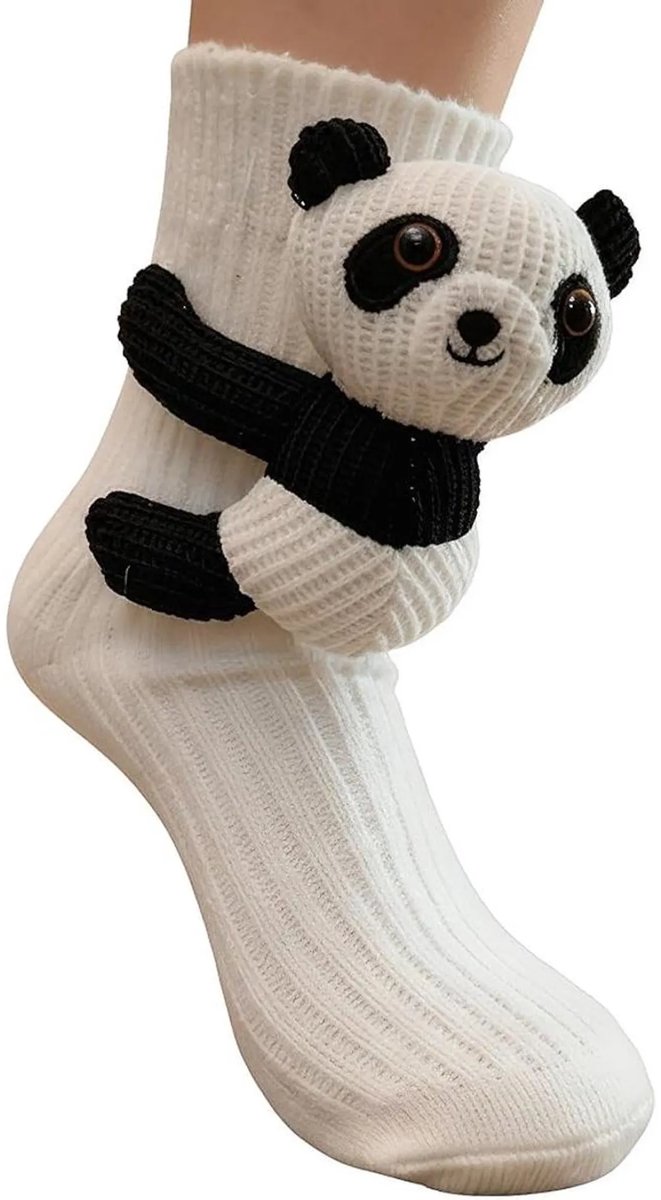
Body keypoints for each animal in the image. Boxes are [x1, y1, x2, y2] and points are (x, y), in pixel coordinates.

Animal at [86, 118, 640, 656]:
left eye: (578, 312)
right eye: (415, 246)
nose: (483, 322)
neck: (414, 427)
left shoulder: (323, 414)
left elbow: (218, 382)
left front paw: (153, 302)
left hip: (269, 557)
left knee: (202, 568)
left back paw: (119, 530)